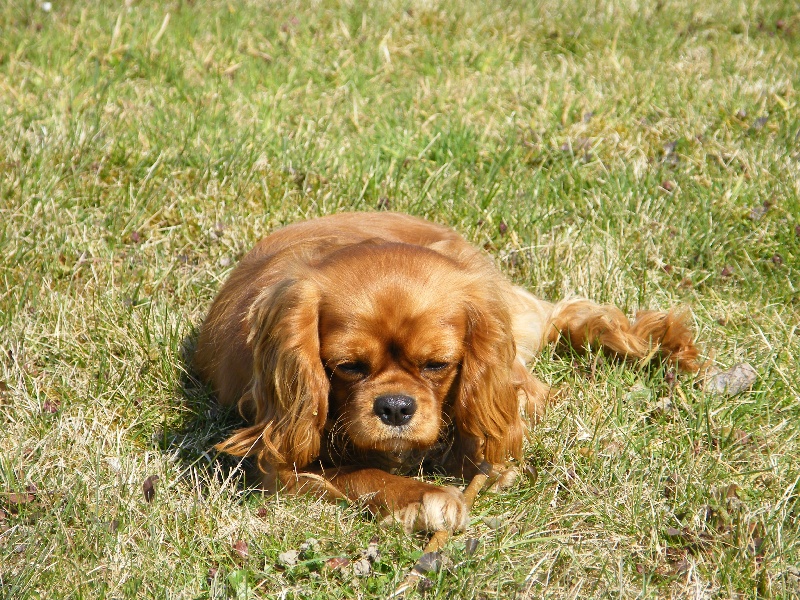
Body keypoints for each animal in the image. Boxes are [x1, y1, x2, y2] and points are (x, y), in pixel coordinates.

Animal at [195, 213, 700, 532]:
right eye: (348, 367)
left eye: (437, 364)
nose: (395, 407)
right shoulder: (277, 465)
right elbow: (359, 473)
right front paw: (420, 497)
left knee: (558, 324)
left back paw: (663, 344)